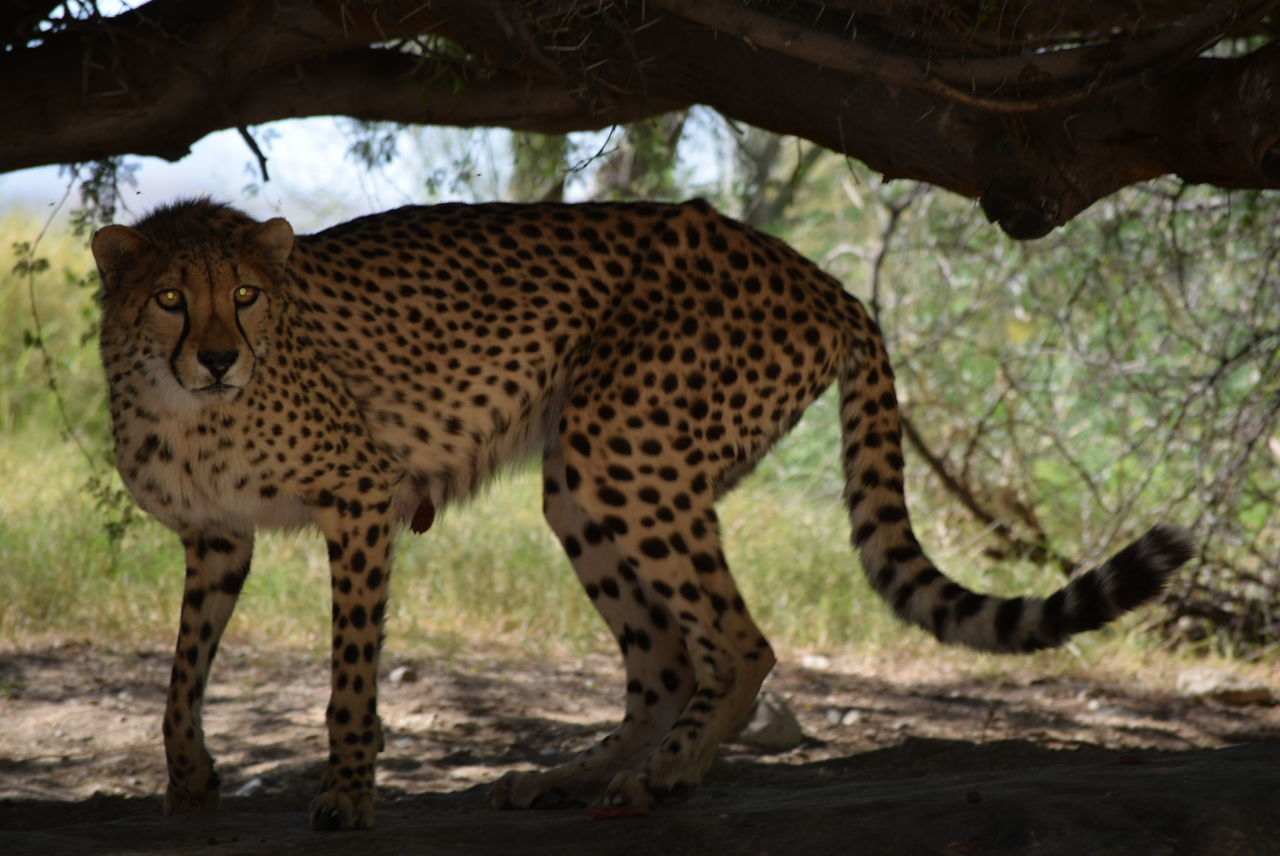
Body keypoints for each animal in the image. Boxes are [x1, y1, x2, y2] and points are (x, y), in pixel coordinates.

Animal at [94, 198, 1192, 829]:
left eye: (244, 294)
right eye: (169, 298)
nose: (219, 356)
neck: (188, 406)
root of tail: (815, 273)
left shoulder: (361, 501)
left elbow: (348, 679)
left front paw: (347, 796)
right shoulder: (217, 536)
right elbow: (182, 671)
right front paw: (188, 778)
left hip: (620, 446)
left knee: (739, 644)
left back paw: (660, 779)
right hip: (581, 480)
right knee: (664, 661)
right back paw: (577, 778)